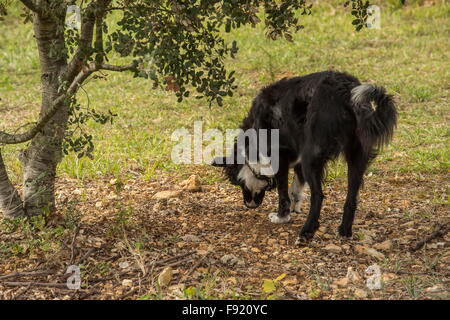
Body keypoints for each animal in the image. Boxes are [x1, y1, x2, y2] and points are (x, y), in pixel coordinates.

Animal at [213, 70, 396, 240]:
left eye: (239, 183)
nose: (248, 205)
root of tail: (346, 89)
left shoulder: (280, 158)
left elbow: (283, 193)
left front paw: (282, 216)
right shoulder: (298, 160)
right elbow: (296, 189)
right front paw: (295, 208)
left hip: (312, 157)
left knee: (318, 196)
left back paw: (307, 231)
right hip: (356, 157)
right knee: (351, 199)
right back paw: (344, 231)